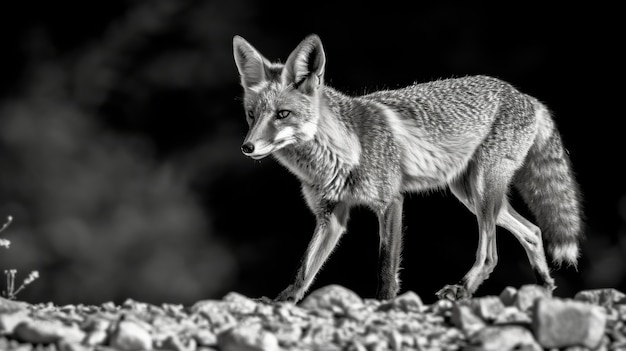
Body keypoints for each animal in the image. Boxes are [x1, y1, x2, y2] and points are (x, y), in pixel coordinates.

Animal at [232, 33, 584, 302]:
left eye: (282, 114)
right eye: (251, 115)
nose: (247, 147)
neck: (339, 154)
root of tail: (525, 96)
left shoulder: (390, 202)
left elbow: (386, 268)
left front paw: (384, 305)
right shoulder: (330, 215)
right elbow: (304, 269)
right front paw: (281, 302)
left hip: (484, 193)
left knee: (490, 254)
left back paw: (463, 288)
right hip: (470, 194)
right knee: (533, 232)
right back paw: (543, 289)